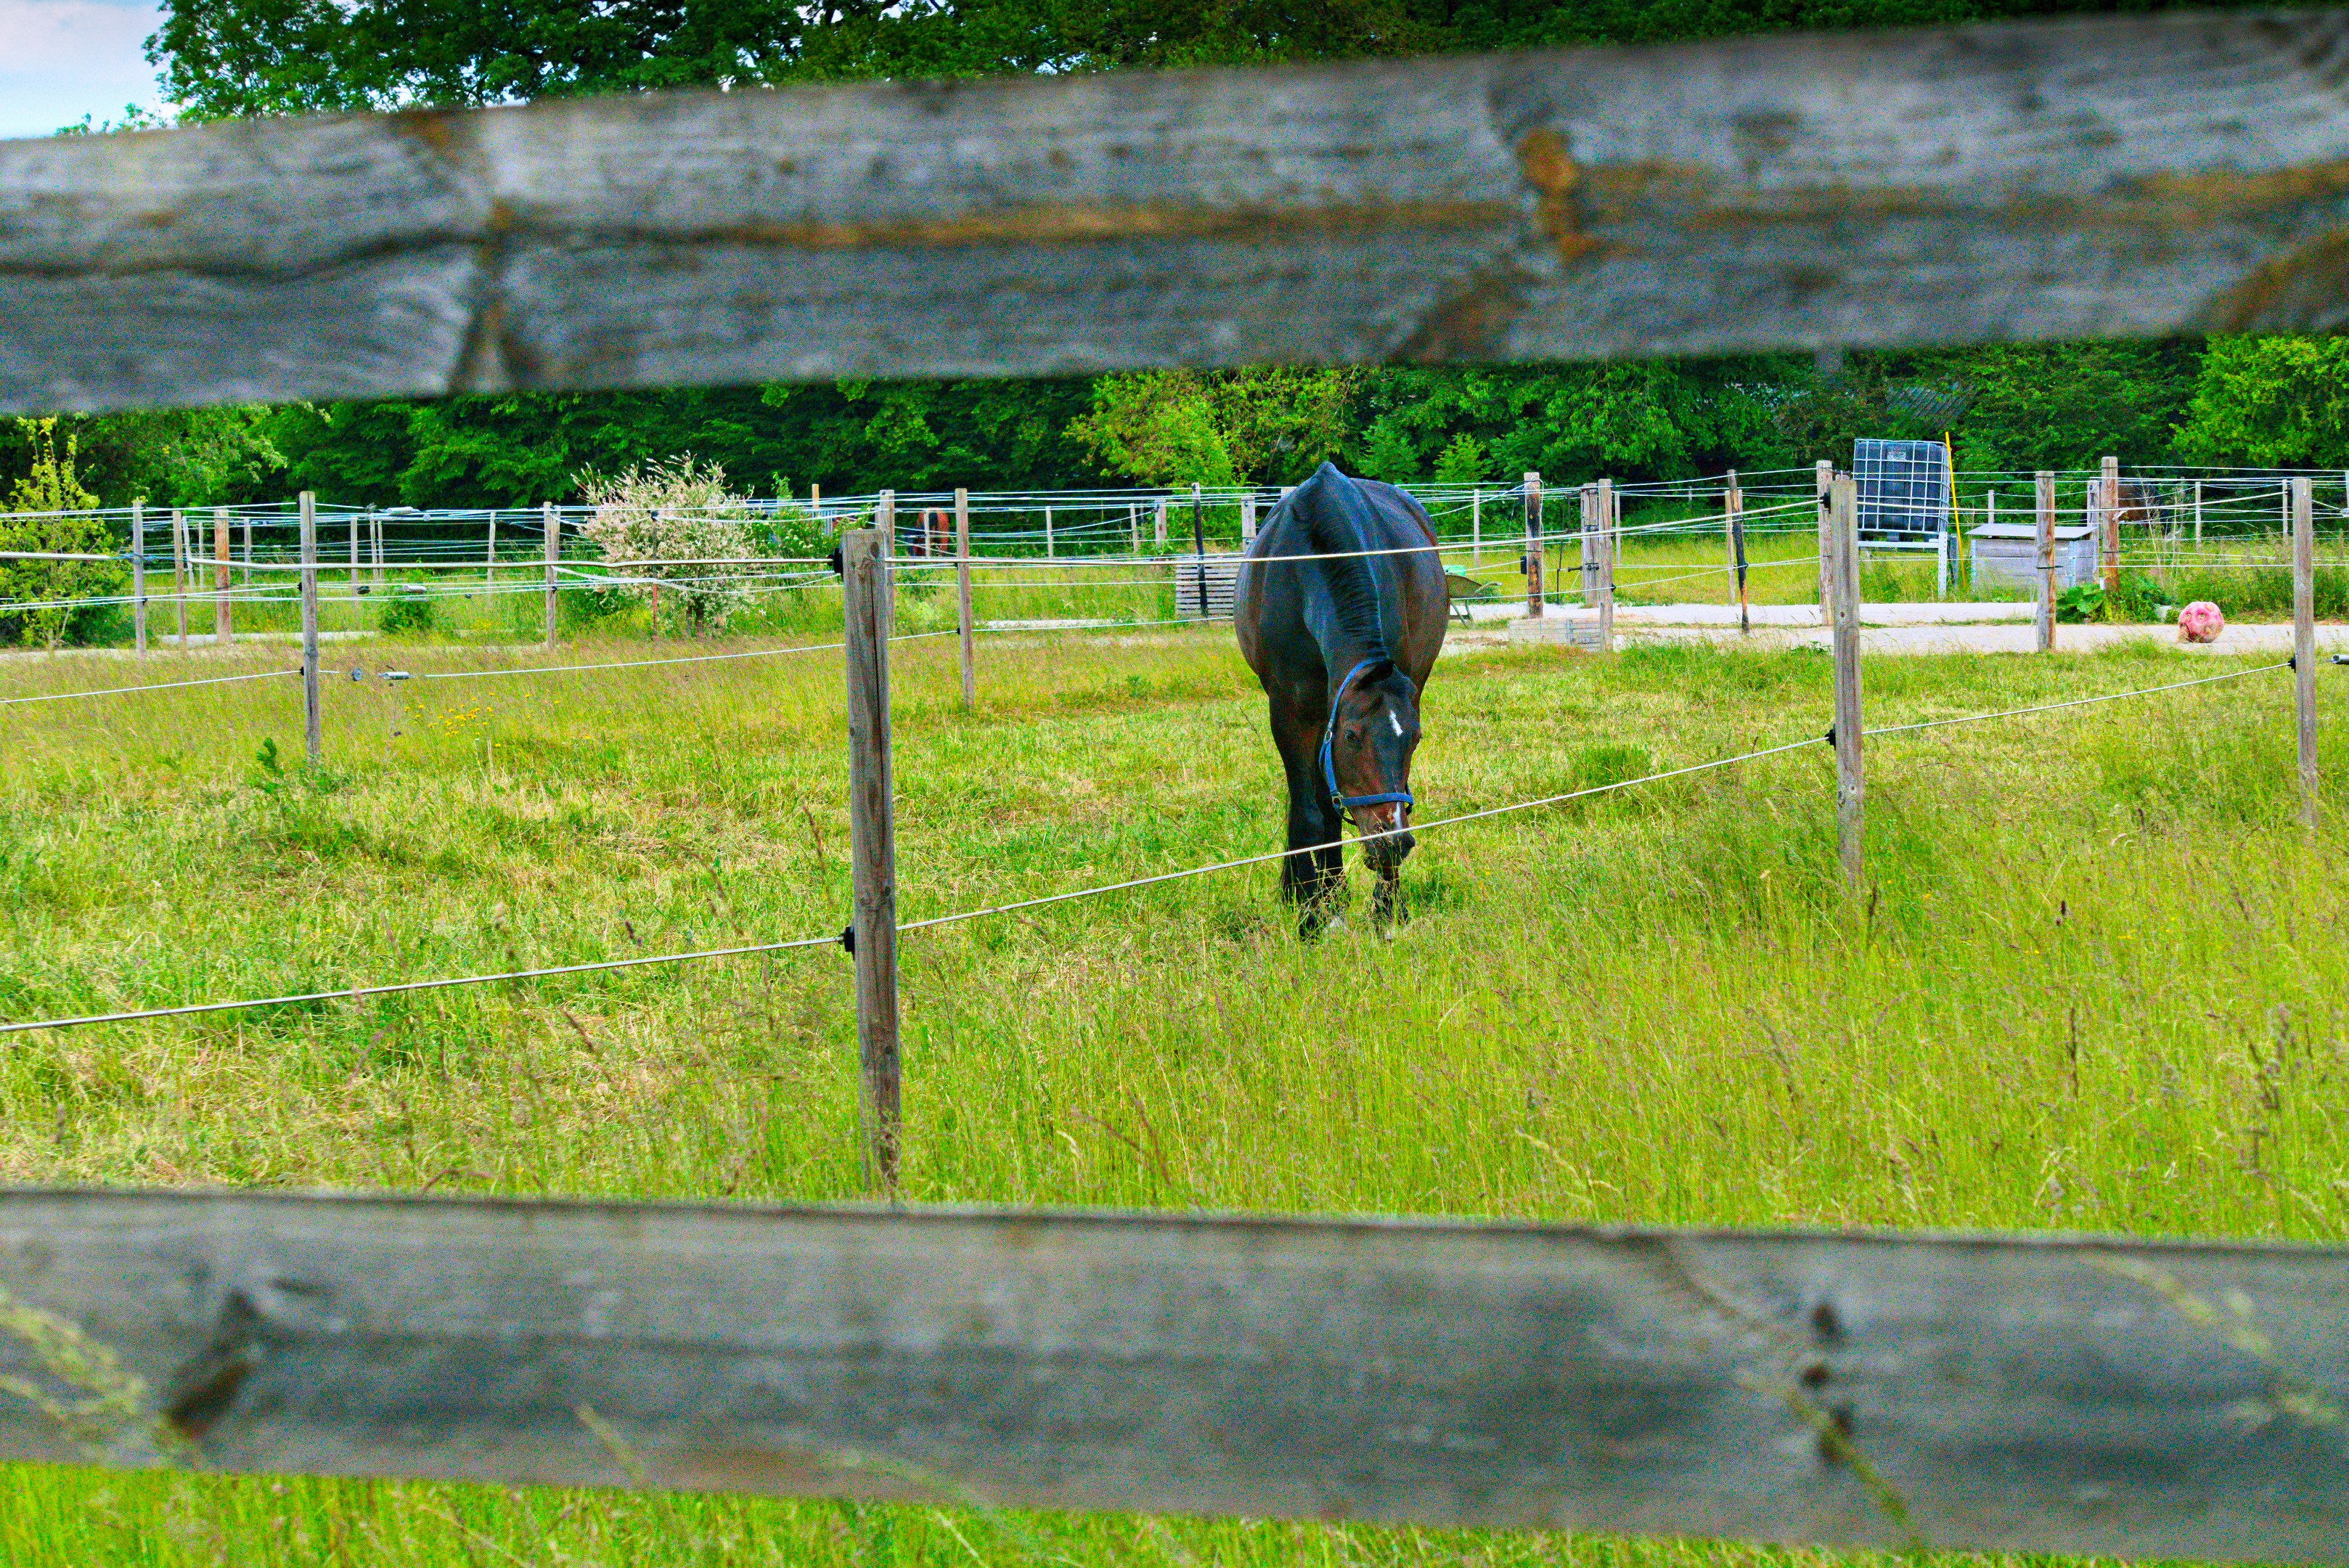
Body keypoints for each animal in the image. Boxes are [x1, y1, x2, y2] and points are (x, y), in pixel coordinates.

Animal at [1235, 462, 1447, 932]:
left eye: (1416, 739)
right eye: (1351, 736)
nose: (1392, 842)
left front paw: (1388, 907)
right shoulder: (1291, 713)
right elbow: (1311, 810)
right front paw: (1311, 915)